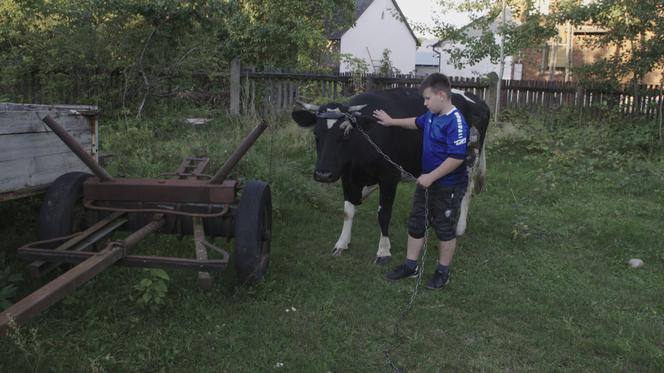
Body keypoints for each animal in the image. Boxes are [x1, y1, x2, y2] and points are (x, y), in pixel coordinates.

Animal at [294, 87, 490, 264]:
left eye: (346, 133)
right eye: (316, 134)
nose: (323, 174)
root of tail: (475, 98)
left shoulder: (389, 177)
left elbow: (383, 214)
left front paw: (383, 251)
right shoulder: (347, 177)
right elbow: (348, 212)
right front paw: (342, 243)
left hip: (469, 159)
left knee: (467, 191)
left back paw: (459, 227)